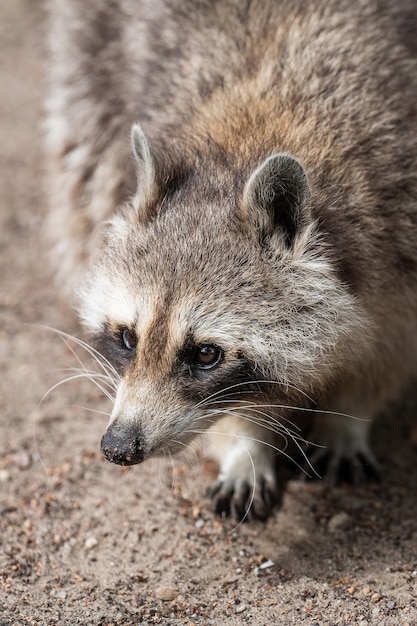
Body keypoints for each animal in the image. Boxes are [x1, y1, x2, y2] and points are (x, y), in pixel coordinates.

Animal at [45, 0, 416, 516]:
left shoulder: (400, 234)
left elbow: (390, 351)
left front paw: (350, 417)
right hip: (89, 53)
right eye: (126, 338)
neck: (247, 139)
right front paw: (245, 445)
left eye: (205, 353)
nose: (119, 446)